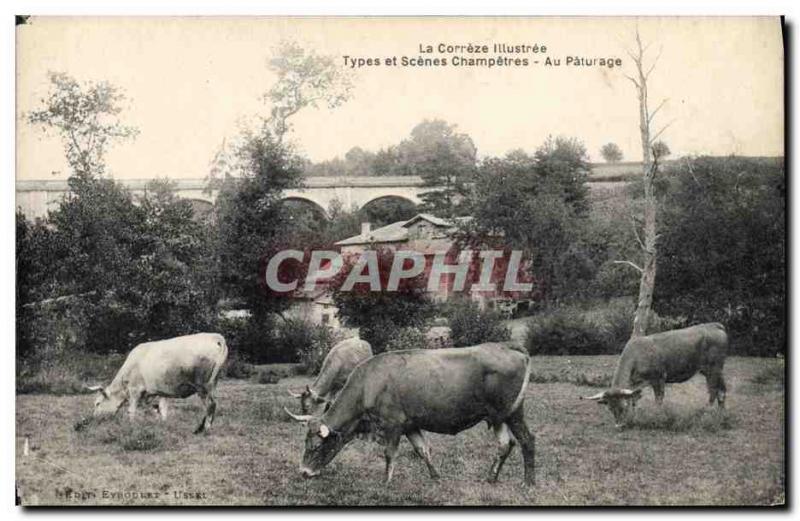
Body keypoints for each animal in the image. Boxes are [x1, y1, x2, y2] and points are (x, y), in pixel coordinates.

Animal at [80, 332, 228, 432]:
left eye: (97, 403)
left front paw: (131, 426)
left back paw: (205, 429)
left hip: (203, 386)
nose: (94, 418)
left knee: (210, 405)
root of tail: (215, 337)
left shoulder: (135, 390)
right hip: (213, 383)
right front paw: (162, 424)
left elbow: (131, 410)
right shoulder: (159, 391)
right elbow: (161, 409)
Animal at [284, 344, 536, 486]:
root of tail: (511, 349)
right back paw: (492, 477)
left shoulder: (392, 424)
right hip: (497, 417)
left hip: (513, 412)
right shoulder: (410, 425)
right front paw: (435, 477)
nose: (303, 472)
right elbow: (423, 450)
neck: (369, 383)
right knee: (505, 445)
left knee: (527, 440)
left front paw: (386, 482)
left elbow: (389, 453)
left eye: (315, 446)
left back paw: (528, 482)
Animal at [584, 320, 728, 426]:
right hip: (713, 370)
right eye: (610, 408)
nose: (619, 425)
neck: (637, 356)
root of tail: (714, 325)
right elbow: (635, 399)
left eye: (623, 406)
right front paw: (634, 417)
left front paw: (657, 417)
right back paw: (720, 415)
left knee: (713, 391)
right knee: (721, 391)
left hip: (713, 368)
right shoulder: (635, 385)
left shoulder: (658, 378)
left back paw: (707, 413)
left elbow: (658, 399)